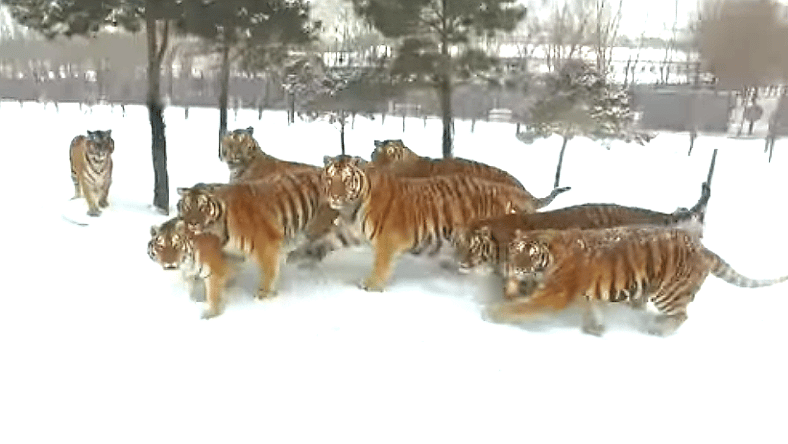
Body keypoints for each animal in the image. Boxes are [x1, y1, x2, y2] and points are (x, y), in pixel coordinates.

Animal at [176, 171, 324, 318]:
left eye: (202, 207)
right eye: (187, 207)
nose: (192, 223)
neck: (218, 226)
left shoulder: (266, 246)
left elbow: (268, 274)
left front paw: (263, 296)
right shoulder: (231, 254)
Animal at [320, 155, 549, 292]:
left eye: (346, 180)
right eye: (330, 180)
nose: (335, 196)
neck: (352, 209)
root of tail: (504, 188)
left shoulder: (387, 240)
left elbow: (380, 265)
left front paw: (371, 286)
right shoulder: (349, 231)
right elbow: (327, 241)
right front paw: (310, 256)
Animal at [485, 225, 788, 336]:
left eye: (530, 255)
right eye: (515, 252)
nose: (514, 268)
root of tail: (702, 248)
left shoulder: (555, 294)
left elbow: (524, 307)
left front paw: (493, 313)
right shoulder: (587, 294)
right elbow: (592, 307)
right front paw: (595, 329)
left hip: (669, 293)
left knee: (682, 315)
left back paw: (658, 330)